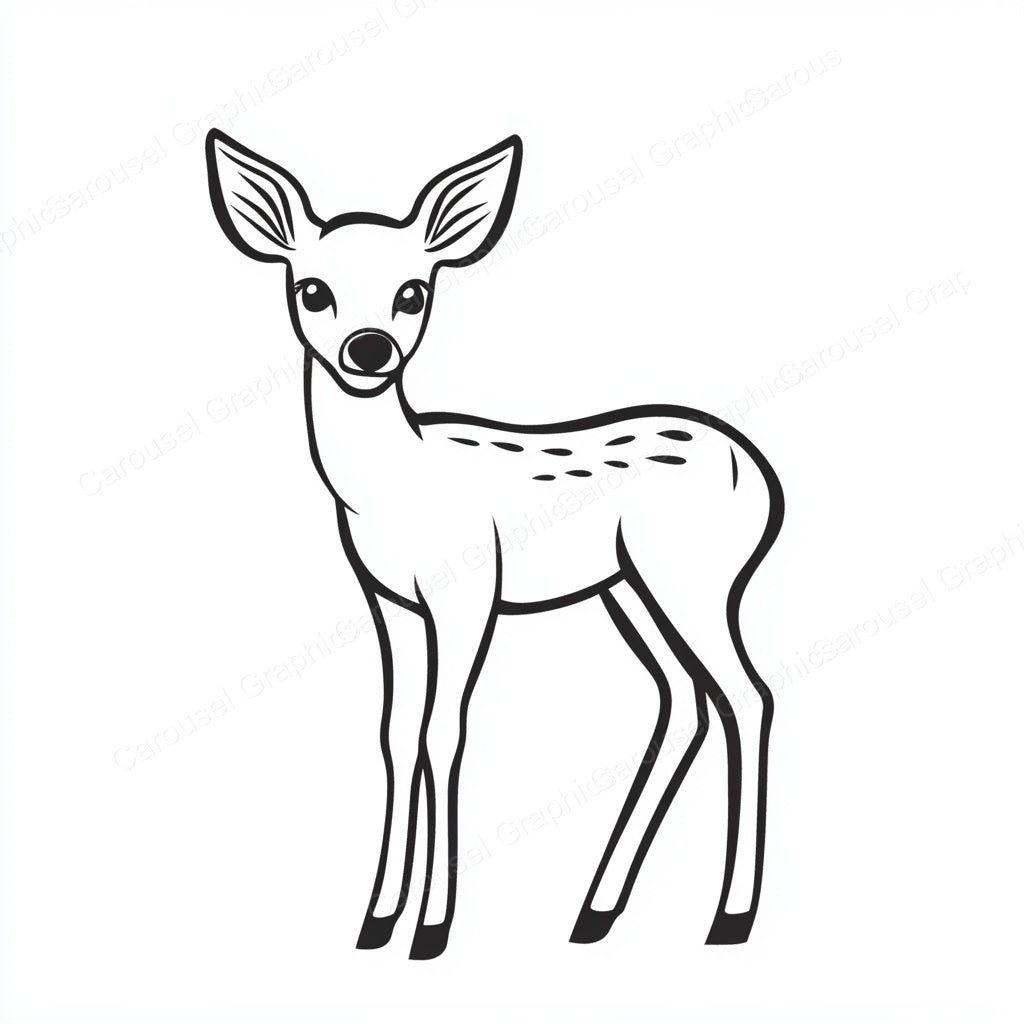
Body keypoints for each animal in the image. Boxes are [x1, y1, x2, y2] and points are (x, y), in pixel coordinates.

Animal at [205, 129, 784, 960]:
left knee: (746, 695)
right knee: (684, 702)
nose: (369, 349)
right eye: (311, 290)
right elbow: (395, 734)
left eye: (414, 291)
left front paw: (431, 927)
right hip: (628, 588)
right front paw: (376, 920)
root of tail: (762, 480)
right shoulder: (388, 601)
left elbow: (445, 732)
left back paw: (728, 917)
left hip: (693, 575)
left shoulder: (468, 588)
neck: (394, 487)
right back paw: (595, 911)